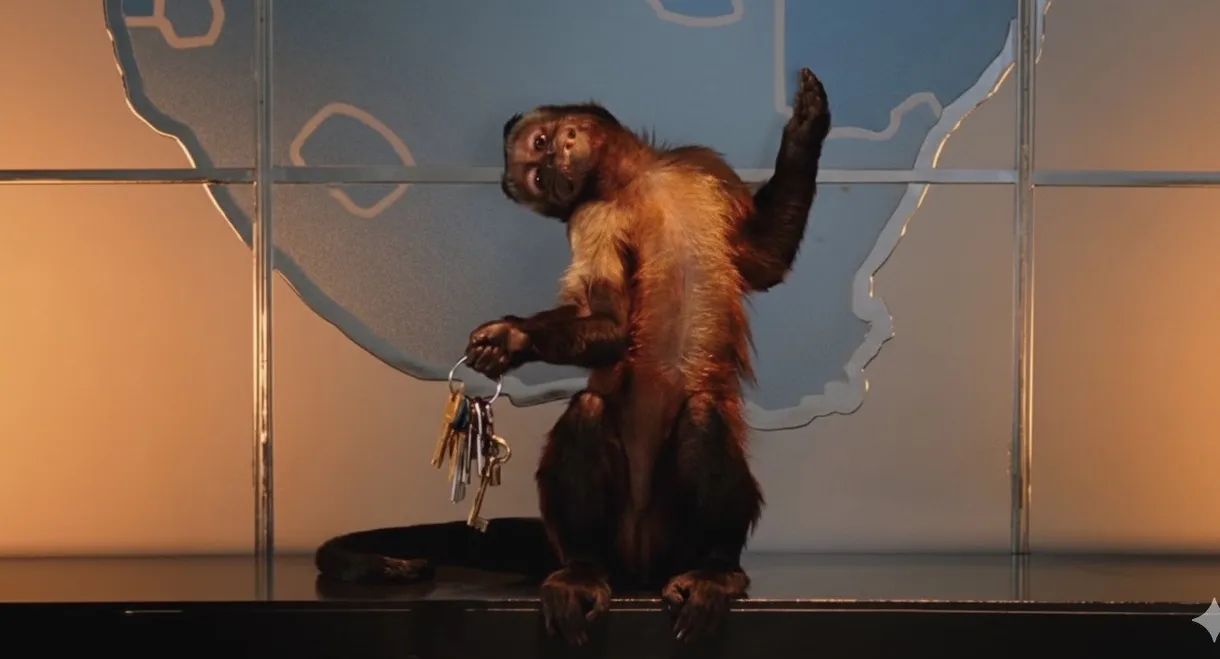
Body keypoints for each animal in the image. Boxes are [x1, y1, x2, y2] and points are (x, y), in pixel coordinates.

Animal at [314, 68, 830, 646]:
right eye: (538, 177)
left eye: (542, 146)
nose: (552, 171)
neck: (634, 181)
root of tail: (640, 566)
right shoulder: (589, 216)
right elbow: (609, 324)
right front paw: (514, 339)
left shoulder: (704, 164)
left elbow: (766, 261)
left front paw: (806, 130)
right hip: (614, 537)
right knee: (588, 410)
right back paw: (583, 571)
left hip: (673, 537)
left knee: (701, 413)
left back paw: (714, 567)